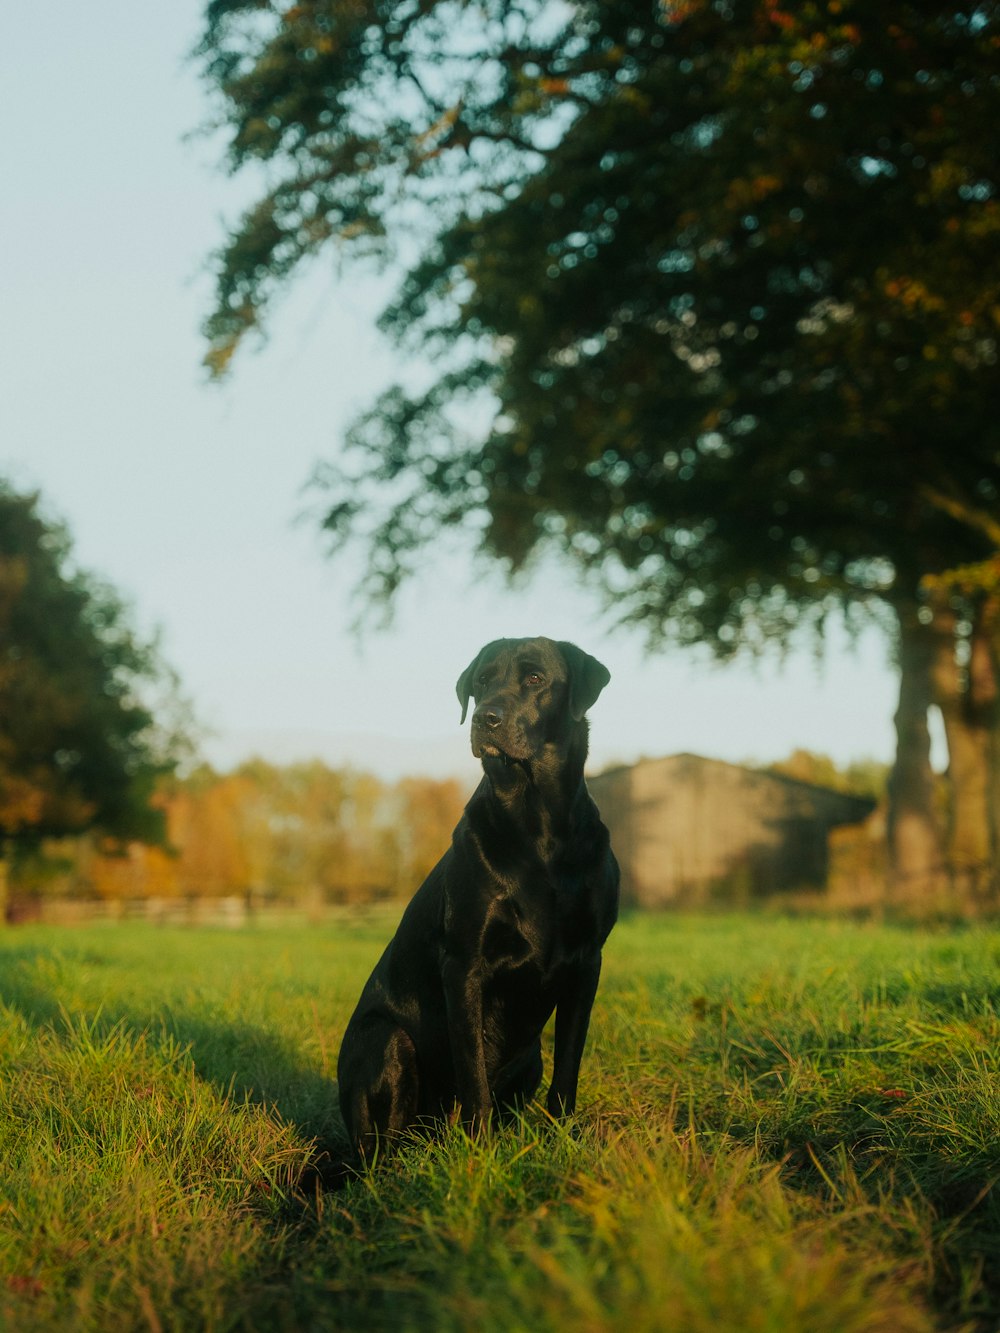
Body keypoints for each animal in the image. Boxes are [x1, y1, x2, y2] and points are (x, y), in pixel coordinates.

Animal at [338, 634, 618, 1157]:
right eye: (483, 681)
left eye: (534, 678)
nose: (486, 717)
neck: (537, 824)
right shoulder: (465, 963)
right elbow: (473, 1073)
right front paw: (479, 1150)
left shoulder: (587, 962)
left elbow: (568, 1066)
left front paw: (561, 1138)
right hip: (387, 1040)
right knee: (381, 1148)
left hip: (531, 1059)